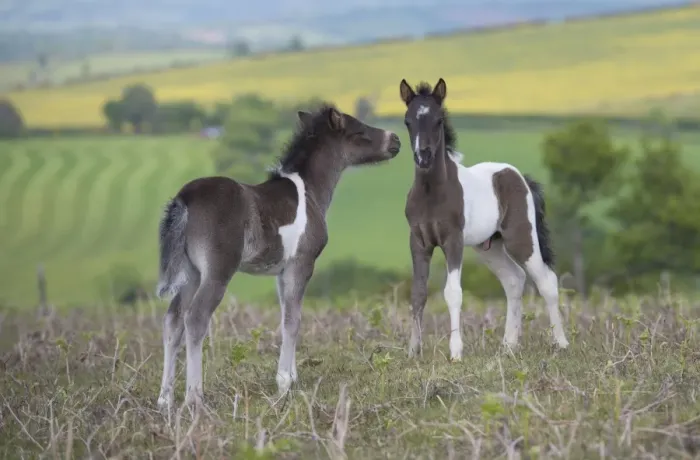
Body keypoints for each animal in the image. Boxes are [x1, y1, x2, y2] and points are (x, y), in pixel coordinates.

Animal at [154, 104, 401, 412]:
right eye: (360, 131)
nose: (396, 140)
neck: (309, 191)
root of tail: (184, 198)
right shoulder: (302, 264)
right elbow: (293, 320)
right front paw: (284, 383)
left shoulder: (282, 272)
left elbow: (287, 315)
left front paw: (292, 378)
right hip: (217, 272)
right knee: (196, 319)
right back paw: (194, 398)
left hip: (192, 273)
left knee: (172, 320)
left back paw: (164, 399)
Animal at [398, 78, 569, 360]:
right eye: (407, 121)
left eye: (438, 120)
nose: (423, 157)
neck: (432, 193)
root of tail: (520, 177)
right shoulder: (418, 242)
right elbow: (418, 294)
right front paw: (413, 351)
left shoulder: (453, 241)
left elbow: (453, 293)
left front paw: (456, 353)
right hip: (490, 246)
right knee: (514, 280)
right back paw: (509, 346)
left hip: (521, 238)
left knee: (546, 281)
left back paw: (561, 343)